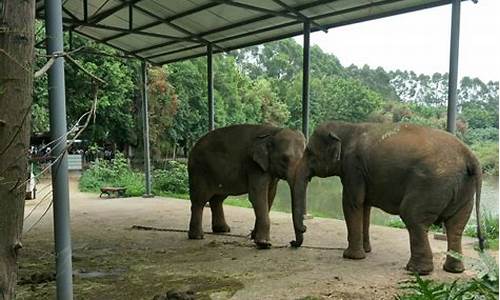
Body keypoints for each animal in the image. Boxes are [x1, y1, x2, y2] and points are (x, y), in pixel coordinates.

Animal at [292, 121, 482, 274]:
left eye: (309, 152)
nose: (294, 242)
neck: (347, 126)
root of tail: (470, 156)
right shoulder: (362, 172)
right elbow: (365, 206)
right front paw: (366, 251)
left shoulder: (353, 167)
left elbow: (352, 203)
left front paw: (351, 257)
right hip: (465, 191)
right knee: (456, 226)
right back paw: (454, 270)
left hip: (431, 184)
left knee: (413, 217)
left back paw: (417, 271)